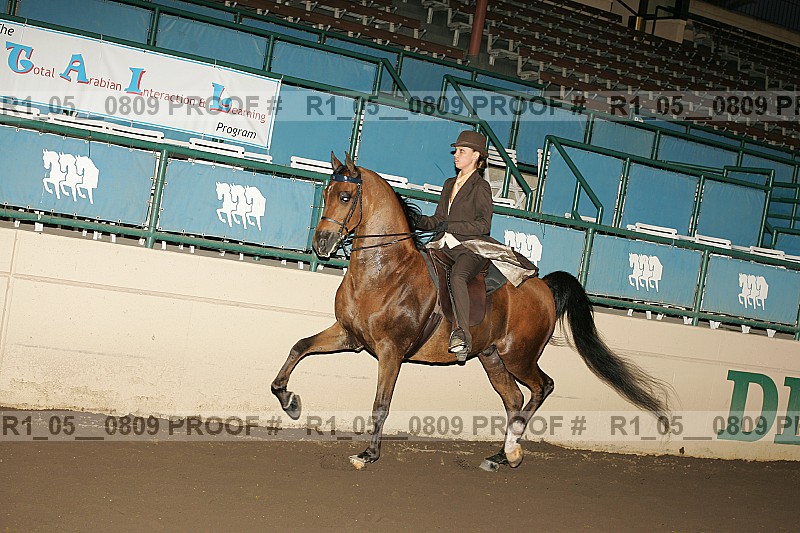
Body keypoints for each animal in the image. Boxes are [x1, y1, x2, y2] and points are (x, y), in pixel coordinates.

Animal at [271, 153, 670, 470]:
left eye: (345, 196)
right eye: (325, 192)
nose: (321, 243)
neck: (383, 271)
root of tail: (543, 286)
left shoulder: (390, 351)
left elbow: (381, 403)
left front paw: (367, 455)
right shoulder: (349, 335)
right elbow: (299, 346)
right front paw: (289, 401)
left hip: (519, 355)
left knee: (542, 387)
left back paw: (511, 451)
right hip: (492, 357)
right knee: (514, 398)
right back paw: (500, 455)